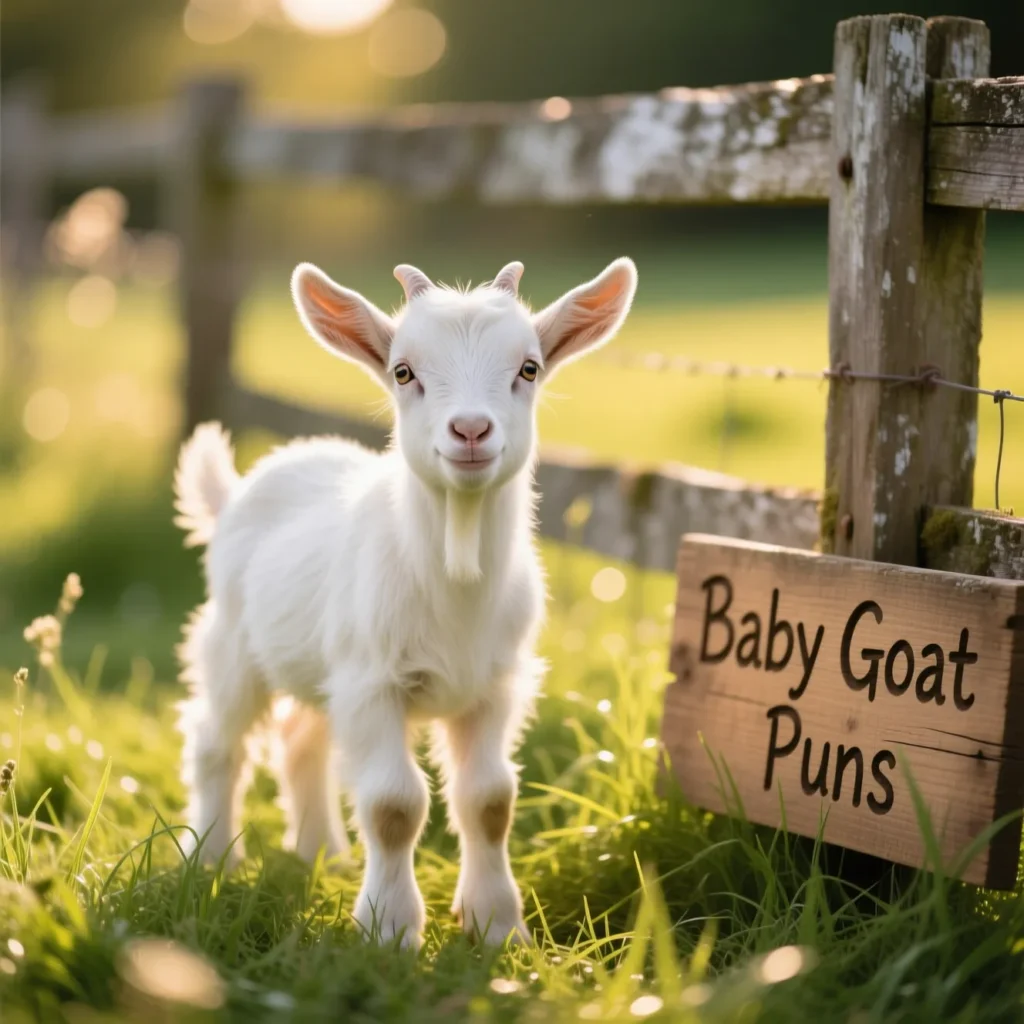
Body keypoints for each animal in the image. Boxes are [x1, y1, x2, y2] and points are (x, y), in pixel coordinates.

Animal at [173, 257, 638, 948]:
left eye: (529, 368)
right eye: (403, 371)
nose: (470, 429)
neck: (454, 581)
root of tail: (240, 488)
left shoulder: (494, 687)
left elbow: (489, 800)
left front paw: (498, 926)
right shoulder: (374, 683)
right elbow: (394, 804)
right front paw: (388, 931)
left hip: (322, 666)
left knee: (302, 741)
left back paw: (321, 854)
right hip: (232, 642)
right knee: (216, 743)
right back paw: (210, 860)